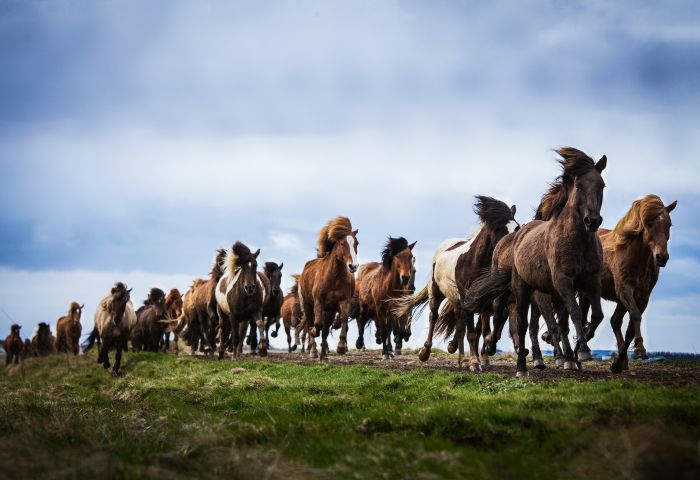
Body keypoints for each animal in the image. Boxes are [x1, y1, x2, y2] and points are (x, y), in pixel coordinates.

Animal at [298, 217, 358, 360]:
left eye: (356, 243)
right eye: (342, 243)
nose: (353, 266)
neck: (334, 277)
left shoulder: (343, 301)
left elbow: (343, 321)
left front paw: (340, 347)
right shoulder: (318, 301)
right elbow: (317, 324)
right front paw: (314, 332)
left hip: (330, 310)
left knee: (325, 330)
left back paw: (324, 356)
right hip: (308, 305)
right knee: (310, 323)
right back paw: (314, 351)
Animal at [394, 197, 520, 370]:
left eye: (517, 227)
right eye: (499, 228)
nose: (512, 253)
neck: (475, 262)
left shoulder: (484, 302)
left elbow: (483, 330)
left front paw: (480, 357)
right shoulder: (469, 299)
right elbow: (472, 333)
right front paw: (475, 363)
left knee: (460, 325)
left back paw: (460, 358)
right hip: (436, 293)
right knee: (434, 317)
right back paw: (425, 353)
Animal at [462, 146, 604, 376]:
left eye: (602, 185)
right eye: (579, 186)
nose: (592, 221)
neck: (577, 240)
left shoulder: (590, 282)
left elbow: (594, 316)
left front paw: (574, 354)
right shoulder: (561, 283)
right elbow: (570, 315)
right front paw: (579, 352)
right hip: (520, 290)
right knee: (511, 321)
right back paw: (512, 361)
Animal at [580, 194, 680, 372]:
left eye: (669, 224)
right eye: (649, 224)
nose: (662, 257)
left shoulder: (643, 296)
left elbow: (630, 328)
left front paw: (618, 363)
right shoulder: (624, 289)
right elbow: (635, 316)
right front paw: (640, 349)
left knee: (614, 321)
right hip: (587, 291)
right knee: (583, 315)